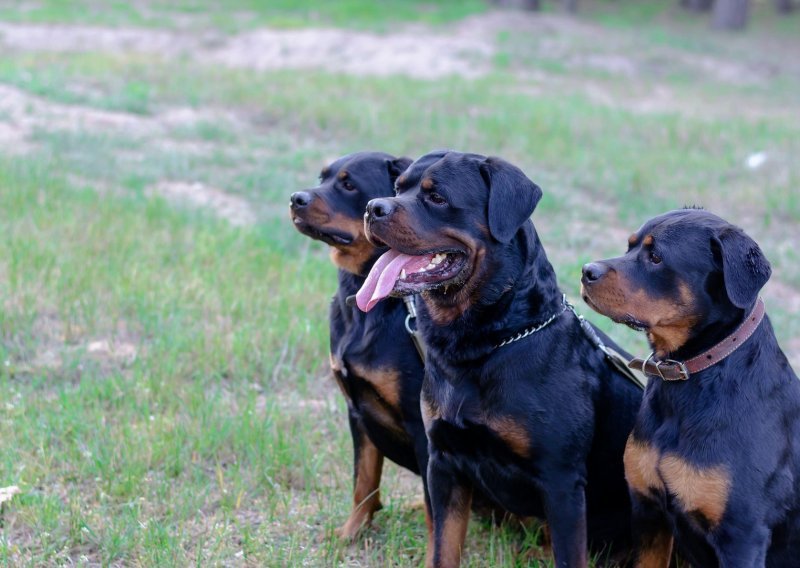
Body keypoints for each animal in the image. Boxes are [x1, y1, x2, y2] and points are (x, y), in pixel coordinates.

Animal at [290, 150, 428, 536]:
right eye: (322, 177)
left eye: (349, 185)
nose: (295, 198)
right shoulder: (357, 410)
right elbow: (363, 481)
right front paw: (352, 532)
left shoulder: (421, 423)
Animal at [356, 149, 644, 564]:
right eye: (398, 188)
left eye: (437, 197)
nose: (373, 208)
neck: (485, 343)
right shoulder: (444, 462)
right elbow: (443, 547)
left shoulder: (561, 482)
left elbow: (568, 556)